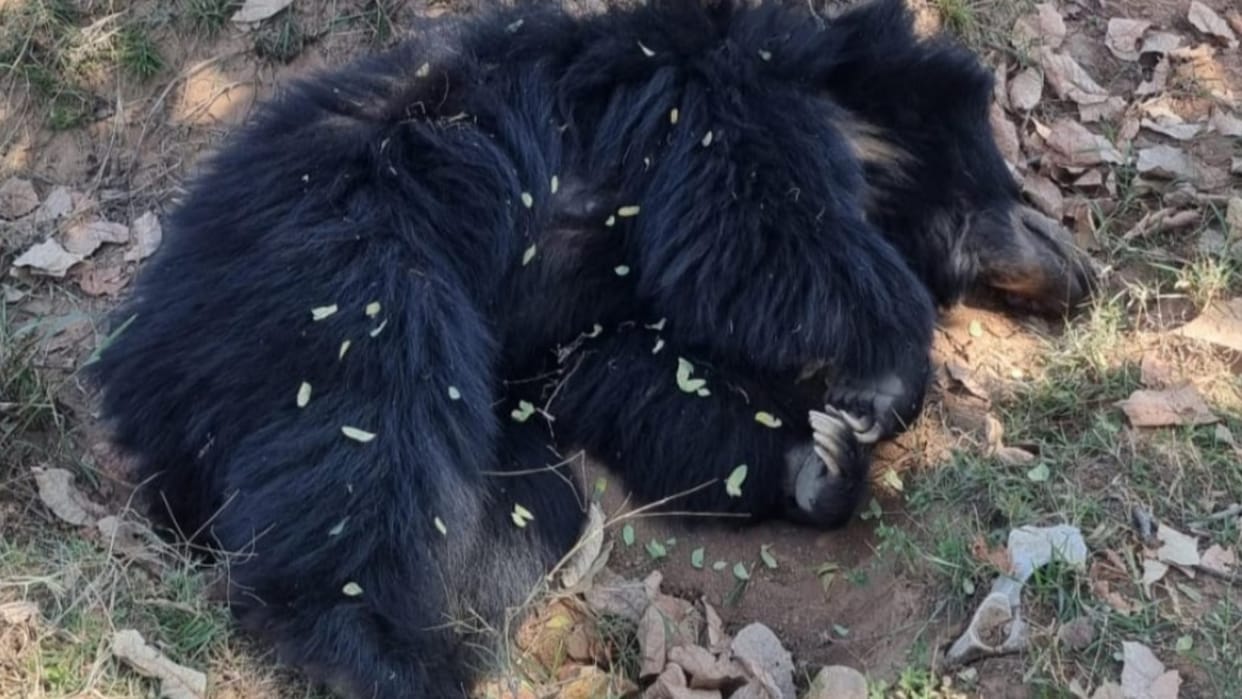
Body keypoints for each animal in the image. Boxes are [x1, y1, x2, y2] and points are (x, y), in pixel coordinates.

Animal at [86, 1, 1093, 697]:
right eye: (1008, 192)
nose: (1075, 270)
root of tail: (136, 367)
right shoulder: (706, 103)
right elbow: (752, 226)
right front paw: (886, 375)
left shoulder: (599, 324)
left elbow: (641, 381)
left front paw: (823, 458)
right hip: (340, 268)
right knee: (367, 429)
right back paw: (384, 654)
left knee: (514, 507)